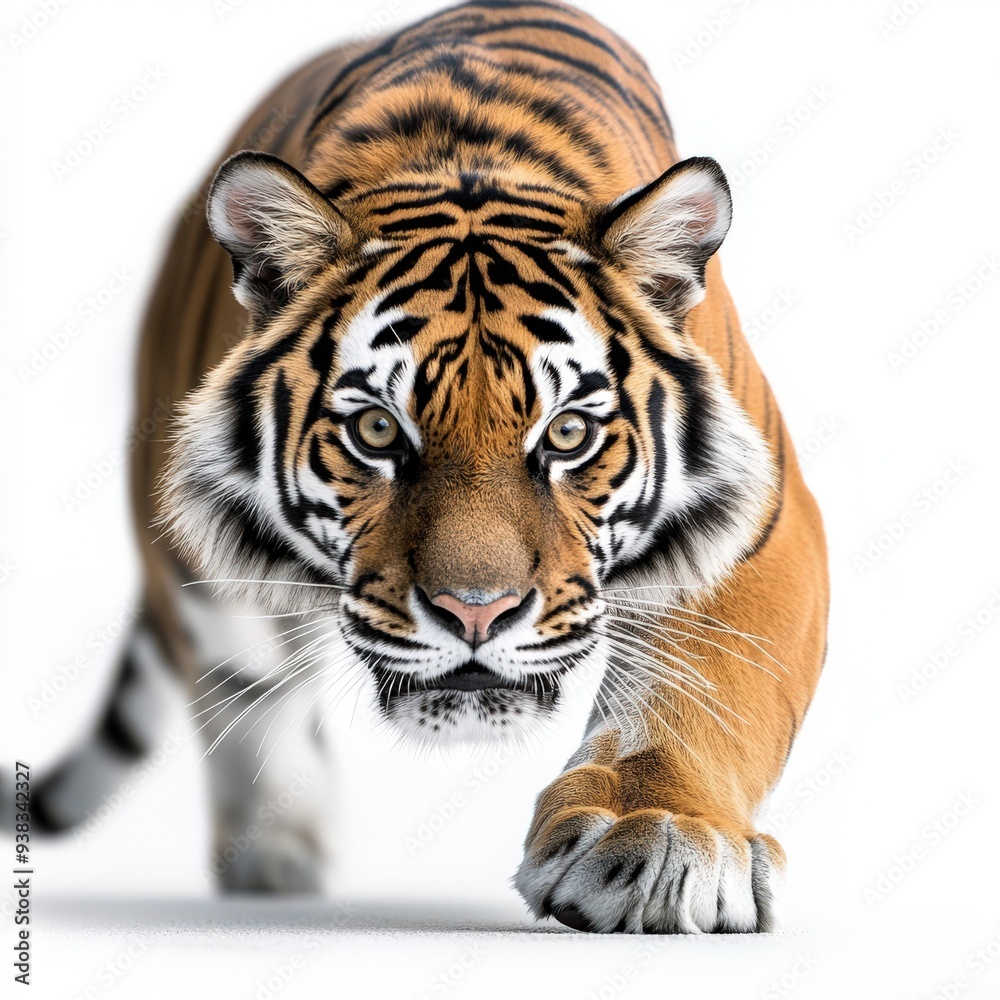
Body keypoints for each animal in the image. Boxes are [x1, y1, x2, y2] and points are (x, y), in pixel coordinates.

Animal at [14, 0, 828, 933]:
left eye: (567, 436)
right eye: (376, 430)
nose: (476, 614)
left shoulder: (761, 524)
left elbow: (707, 684)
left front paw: (659, 833)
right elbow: (247, 680)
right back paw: (276, 848)